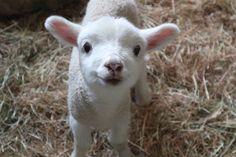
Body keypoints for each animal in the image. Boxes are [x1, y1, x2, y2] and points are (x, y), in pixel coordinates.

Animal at [44, 0, 181, 156]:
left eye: (137, 49)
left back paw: (143, 95)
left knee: (142, 66)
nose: (114, 65)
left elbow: (118, 141)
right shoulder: (77, 119)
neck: (105, 102)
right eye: (86, 46)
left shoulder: (122, 118)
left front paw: (126, 154)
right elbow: (82, 144)